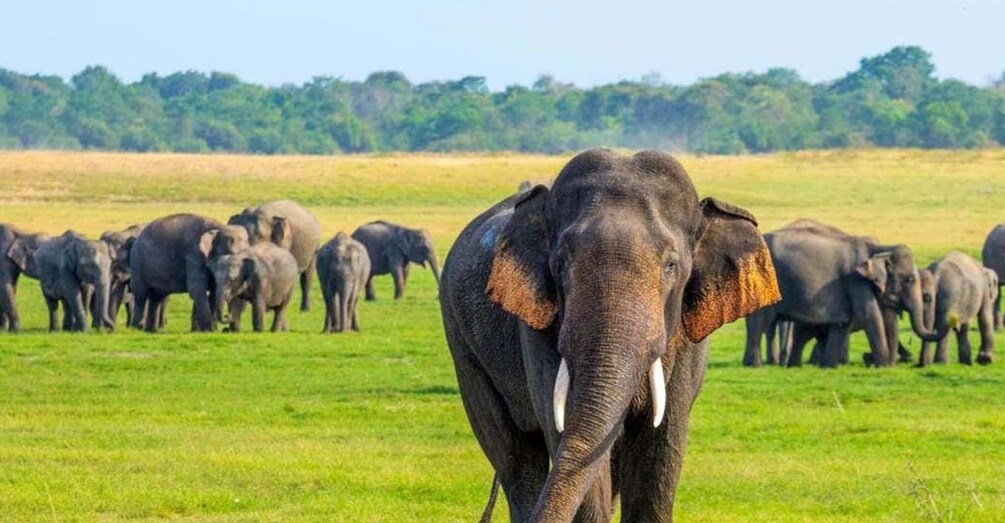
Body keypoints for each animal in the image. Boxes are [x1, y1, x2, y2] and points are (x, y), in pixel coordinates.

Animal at [440, 149, 780, 522]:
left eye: (671, 266)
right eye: (561, 264)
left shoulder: (687, 340)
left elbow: (661, 450)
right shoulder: (537, 329)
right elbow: (569, 436)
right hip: (463, 347)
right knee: (515, 457)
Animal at [744, 218, 936, 368]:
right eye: (910, 279)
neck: (878, 247)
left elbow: (844, 322)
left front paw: (831, 367)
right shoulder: (855, 280)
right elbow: (869, 315)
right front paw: (884, 367)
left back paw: (789, 366)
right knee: (760, 322)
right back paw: (755, 366)